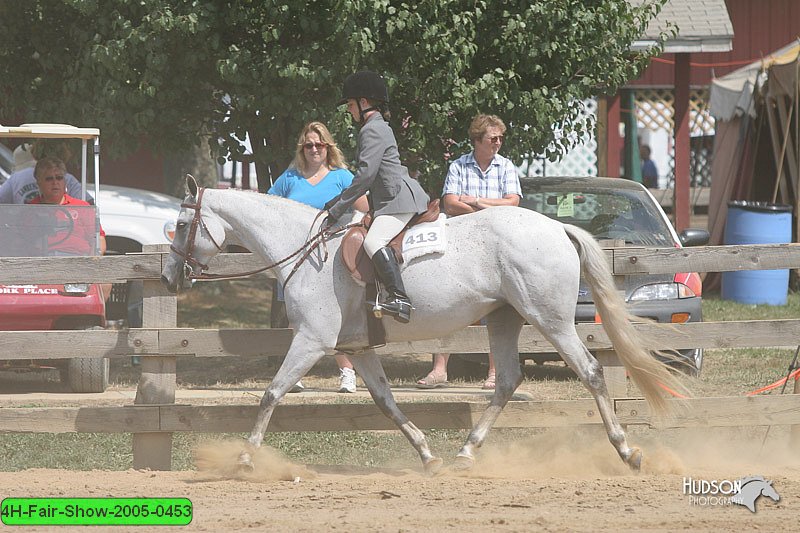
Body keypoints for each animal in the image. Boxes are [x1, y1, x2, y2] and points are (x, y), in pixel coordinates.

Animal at [161, 176, 680, 474]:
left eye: (183, 225)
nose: (169, 277)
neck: (306, 251)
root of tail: (556, 226)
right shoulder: (360, 349)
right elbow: (387, 403)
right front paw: (427, 455)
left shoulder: (311, 341)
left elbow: (271, 393)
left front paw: (246, 458)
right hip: (504, 320)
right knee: (507, 380)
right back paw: (466, 453)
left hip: (549, 319)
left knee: (590, 372)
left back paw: (627, 451)